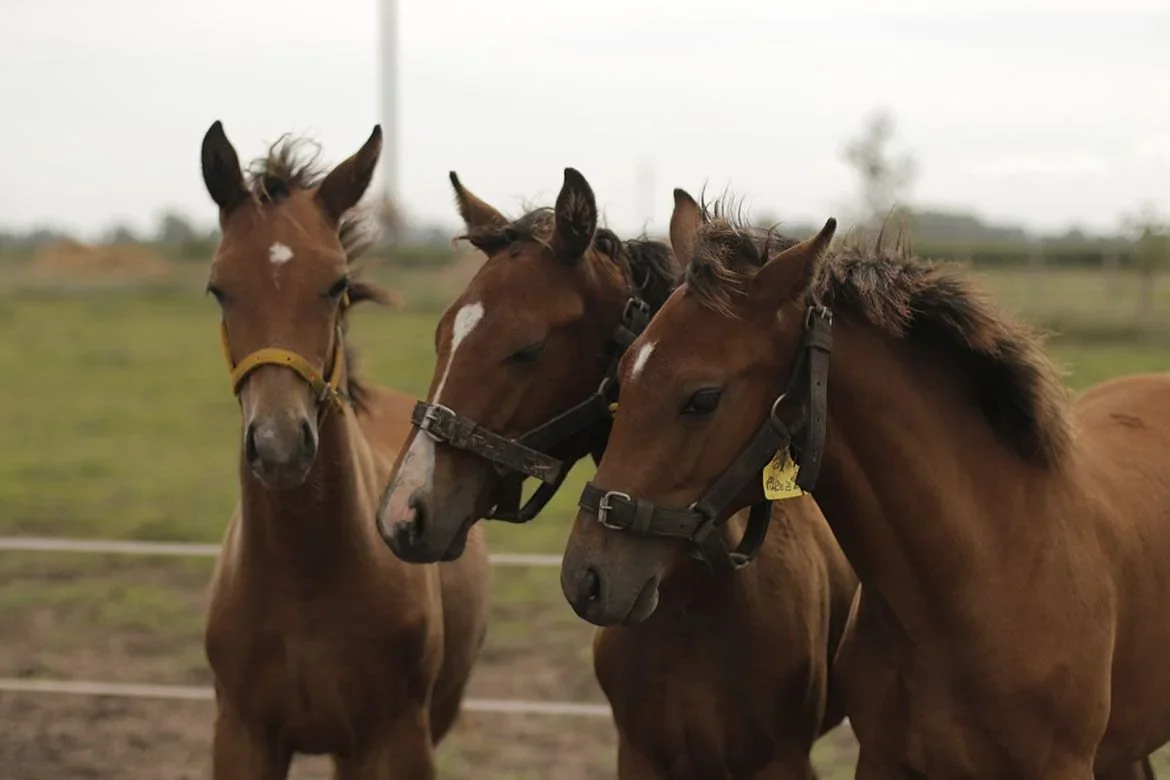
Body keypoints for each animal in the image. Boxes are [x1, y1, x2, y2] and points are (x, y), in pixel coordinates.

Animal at [199, 121, 491, 779]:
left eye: (336, 285)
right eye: (218, 288)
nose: (280, 445)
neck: (303, 578)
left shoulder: (395, 740)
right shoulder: (242, 737)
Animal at [376, 173, 859, 778]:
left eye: (528, 348)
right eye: (443, 334)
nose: (404, 513)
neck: (694, 604)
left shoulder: (782, 760)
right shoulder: (639, 753)